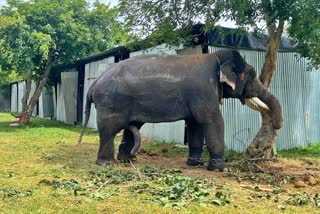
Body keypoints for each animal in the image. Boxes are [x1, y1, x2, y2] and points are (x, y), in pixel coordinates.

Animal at [79, 49, 282, 171]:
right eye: (252, 75)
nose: (277, 126)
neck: (217, 56)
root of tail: (95, 82)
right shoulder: (203, 91)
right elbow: (212, 120)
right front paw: (217, 168)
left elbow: (195, 124)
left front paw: (194, 164)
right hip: (111, 102)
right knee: (109, 130)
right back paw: (107, 164)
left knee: (132, 126)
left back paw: (128, 160)